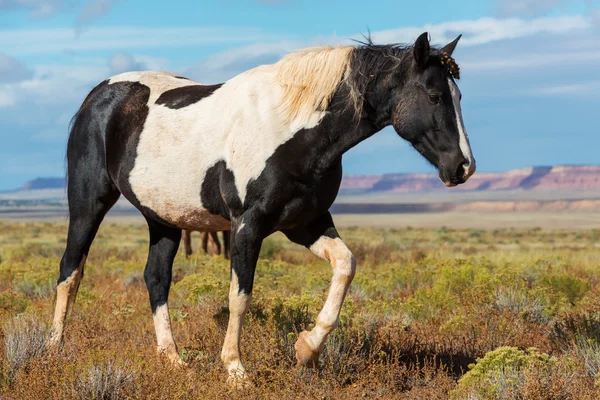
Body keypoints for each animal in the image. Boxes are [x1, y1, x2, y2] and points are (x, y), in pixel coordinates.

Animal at [49, 32, 476, 386]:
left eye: (458, 97)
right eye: (434, 95)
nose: (464, 167)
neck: (291, 128)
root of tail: (98, 96)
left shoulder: (305, 223)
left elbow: (345, 265)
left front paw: (306, 349)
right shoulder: (246, 225)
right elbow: (240, 295)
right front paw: (236, 370)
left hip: (165, 218)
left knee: (156, 278)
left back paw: (173, 359)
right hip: (88, 203)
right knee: (71, 270)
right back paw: (53, 349)